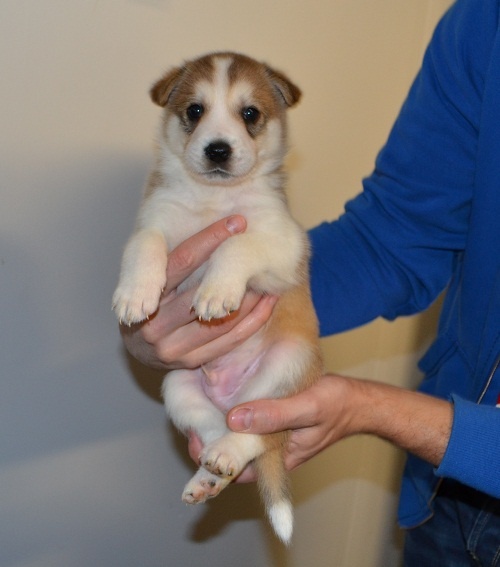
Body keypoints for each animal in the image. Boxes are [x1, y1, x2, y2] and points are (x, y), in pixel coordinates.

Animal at [112, 52, 323, 544]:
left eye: (250, 114)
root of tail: (233, 396)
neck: (213, 199)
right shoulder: (155, 220)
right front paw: (135, 294)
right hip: (179, 386)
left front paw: (215, 291)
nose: (218, 149)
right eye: (194, 110)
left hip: (286, 365)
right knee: (214, 427)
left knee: (256, 431)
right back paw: (208, 475)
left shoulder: (283, 241)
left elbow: (237, 244)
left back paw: (229, 452)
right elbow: (145, 244)